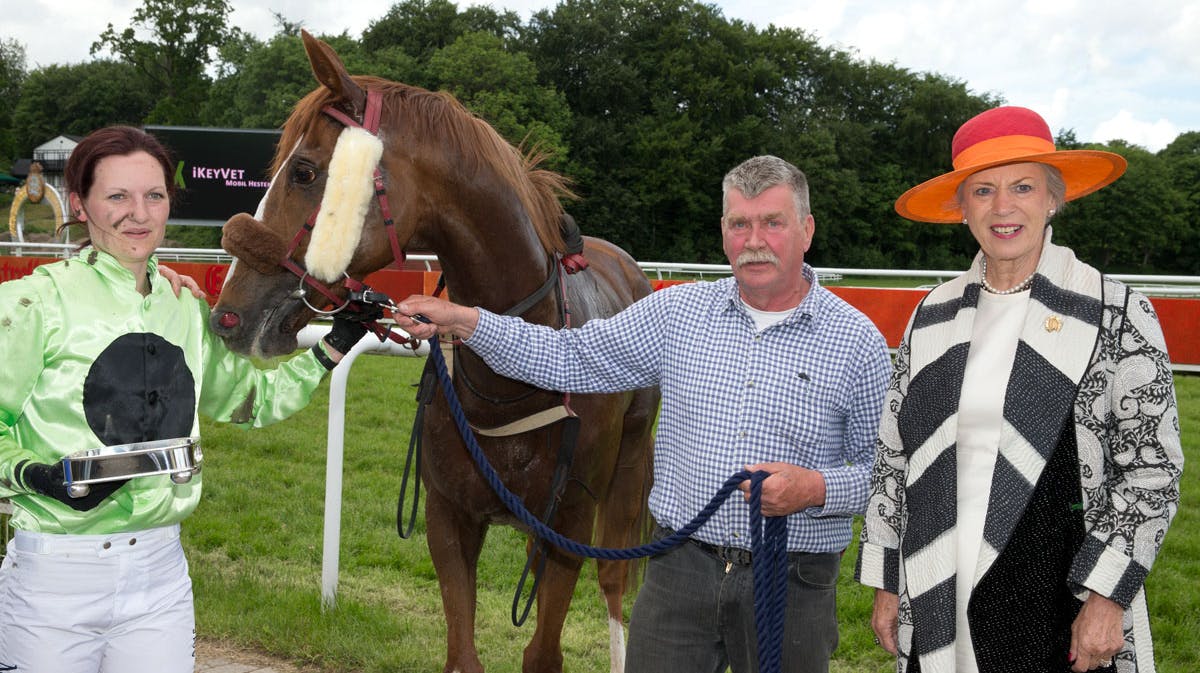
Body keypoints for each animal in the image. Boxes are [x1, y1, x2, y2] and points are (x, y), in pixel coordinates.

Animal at [207, 31, 657, 671]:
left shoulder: (566, 523)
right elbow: (462, 650)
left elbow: (544, 650)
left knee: (615, 586)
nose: (228, 315)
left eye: (304, 171)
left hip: (629, 470)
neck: (517, 376)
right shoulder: (449, 517)